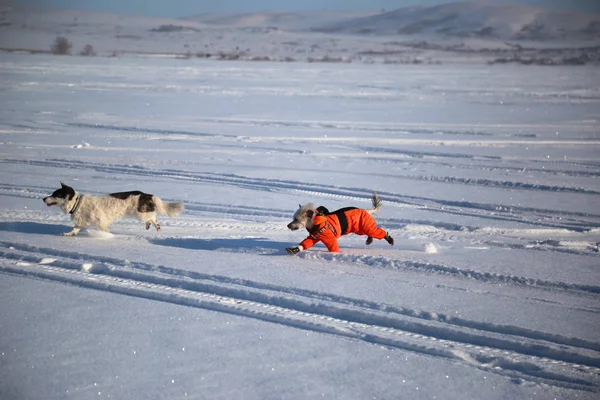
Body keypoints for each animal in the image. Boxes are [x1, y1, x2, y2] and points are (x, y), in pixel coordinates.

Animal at [42, 183, 184, 236]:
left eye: (55, 194)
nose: (43, 198)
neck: (76, 203)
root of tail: (145, 194)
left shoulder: (101, 222)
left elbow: (106, 231)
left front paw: (109, 237)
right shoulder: (81, 222)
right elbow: (74, 230)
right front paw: (68, 234)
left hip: (139, 213)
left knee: (152, 216)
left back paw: (154, 226)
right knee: (152, 217)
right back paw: (152, 227)